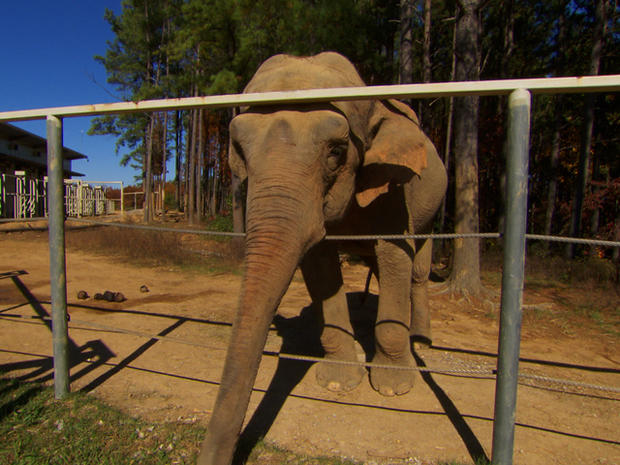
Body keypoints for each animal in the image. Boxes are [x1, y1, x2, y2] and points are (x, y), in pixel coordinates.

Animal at [199, 51, 446, 464]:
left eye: (336, 152)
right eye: (240, 152)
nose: (213, 457)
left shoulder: (393, 185)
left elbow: (395, 254)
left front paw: (393, 388)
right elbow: (320, 263)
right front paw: (337, 382)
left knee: (417, 270)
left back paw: (421, 340)